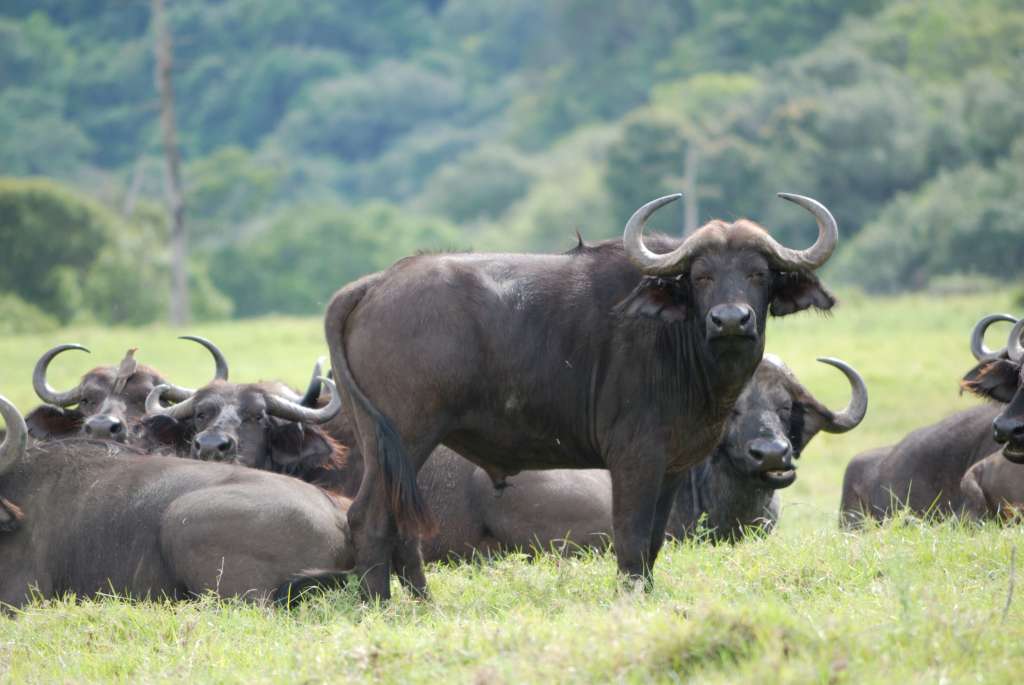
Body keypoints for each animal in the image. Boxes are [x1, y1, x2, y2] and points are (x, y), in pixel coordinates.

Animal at [327, 191, 839, 597]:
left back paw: (422, 603)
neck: (681, 344)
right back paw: (381, 605)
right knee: (370, 519)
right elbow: (630, 538)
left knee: (400, 523)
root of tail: (374, 284)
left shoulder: (672, 467)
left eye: (758, 274)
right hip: (403, 438)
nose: (731, 320)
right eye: (701, 276)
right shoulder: (634, 459)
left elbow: (653, 541)